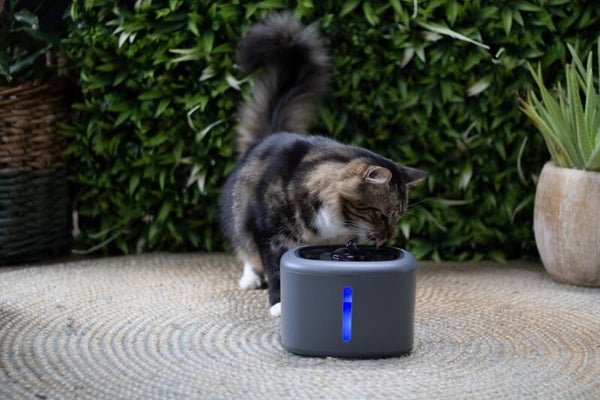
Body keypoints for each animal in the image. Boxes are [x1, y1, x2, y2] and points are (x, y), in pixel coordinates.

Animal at [219, 13, 427, 316]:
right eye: (381, 214)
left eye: (398, 217)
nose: (387, 238)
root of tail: (271, 134)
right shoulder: (268, 234)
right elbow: (276, 271)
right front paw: (279, 304)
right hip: (240, 219)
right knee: (245, 250)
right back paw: (250, 279)